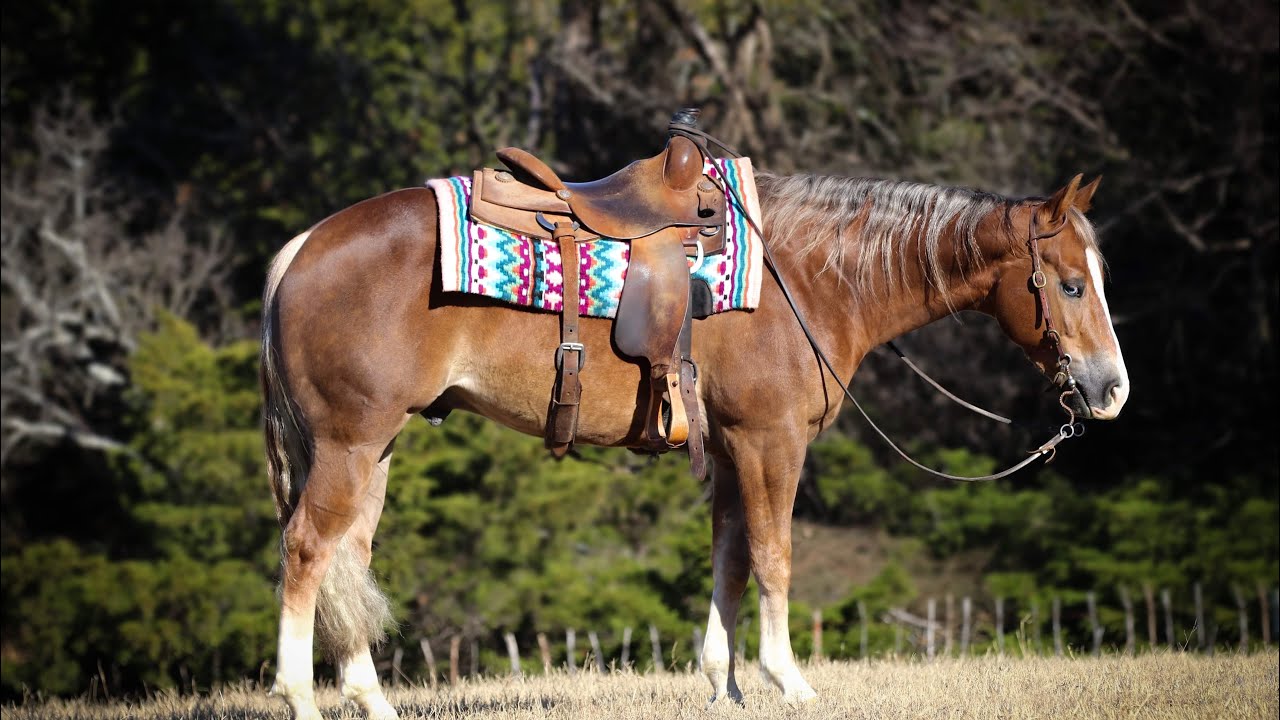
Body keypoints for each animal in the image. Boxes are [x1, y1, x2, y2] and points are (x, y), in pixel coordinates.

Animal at [260, 165, 1129, 718]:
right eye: (1071, 284)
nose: (1112, 389)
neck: (806, 279)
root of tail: (301, 248)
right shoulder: (771, 442)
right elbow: (775, 557)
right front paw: (789, 681)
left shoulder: (735, 449)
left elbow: (731, 561)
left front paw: (725, 684)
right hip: (347, 445)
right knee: (307, 550)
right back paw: (301, 697)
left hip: (373, 449)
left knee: (349, 559)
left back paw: (371, 699)